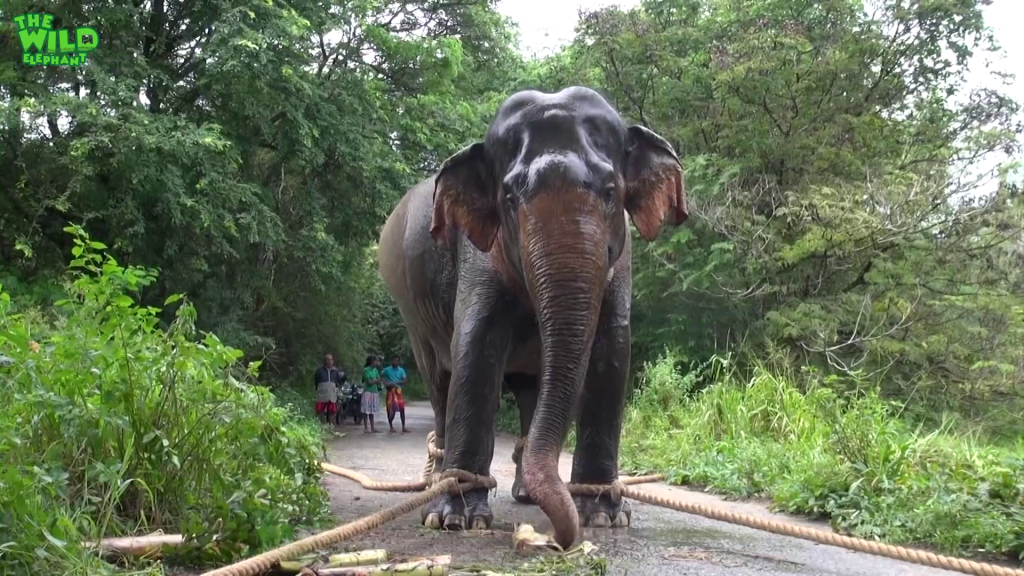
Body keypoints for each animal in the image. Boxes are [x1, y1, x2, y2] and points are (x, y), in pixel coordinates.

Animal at [376, 86, 688, 545]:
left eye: (611, 191)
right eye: (509, 198)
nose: (559, 539)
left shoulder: (623, 257)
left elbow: (612, 349)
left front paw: (602, 515)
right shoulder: (479, 255)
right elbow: (476, 347)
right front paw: (457, 519)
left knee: (527, 388)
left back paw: (525, 492)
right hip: (411, 310)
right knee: (438, 378)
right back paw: (439, 486)